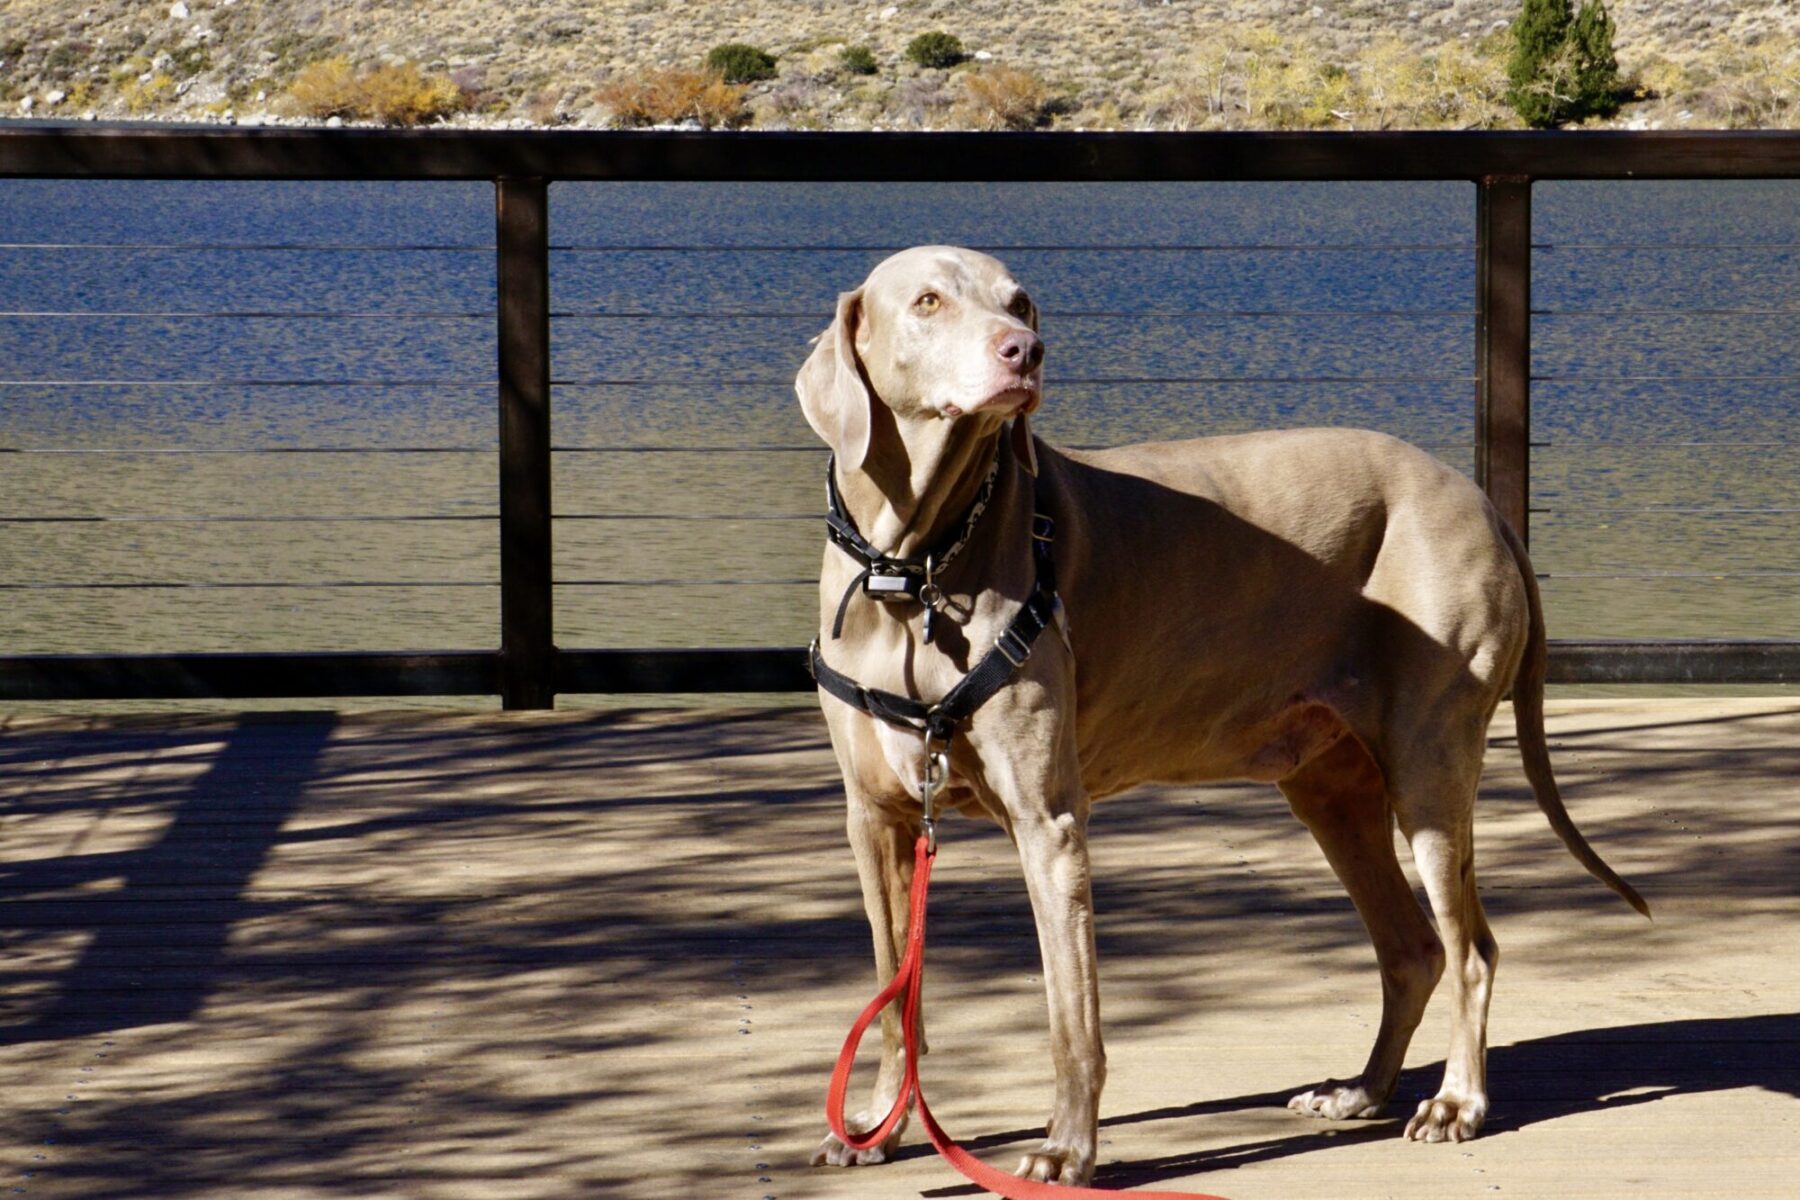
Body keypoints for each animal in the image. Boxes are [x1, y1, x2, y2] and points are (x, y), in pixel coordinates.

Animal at [802, 248, 1648, 1187]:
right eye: (927, 301)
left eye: (1019, 302)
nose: (1026, 351)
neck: (912, 568)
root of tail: (1480, 501)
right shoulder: (875, 819)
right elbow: (893, 989)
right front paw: (877, 1124)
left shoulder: (1048, 822)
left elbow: (1071, 1018)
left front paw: (1067, 1151)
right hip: (1331, 787)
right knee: (1412, 948)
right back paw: (1360, 1092)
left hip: (1428, 765)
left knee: (1469, 950)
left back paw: (1456, 1103)